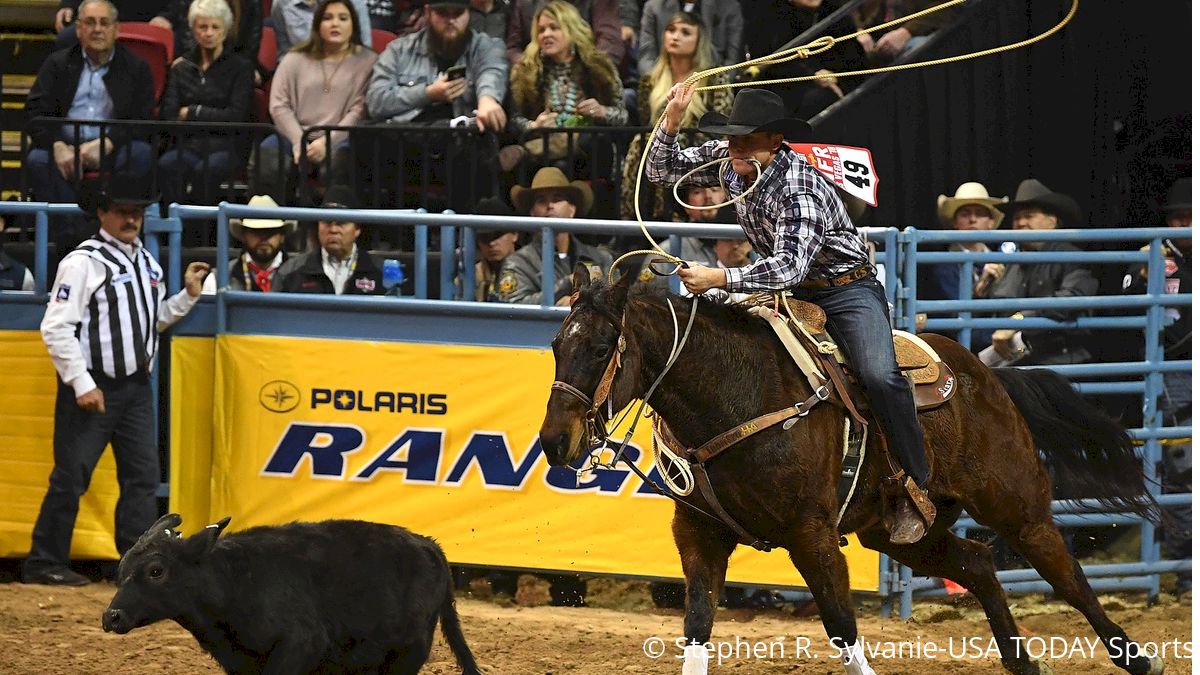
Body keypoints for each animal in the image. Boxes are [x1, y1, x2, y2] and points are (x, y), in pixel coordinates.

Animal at [542, 263, 1161, 672]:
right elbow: (696, 627)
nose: (553, 442)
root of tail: (987, 375)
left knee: (1063, 571)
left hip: (1014, 502)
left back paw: (1134, 657)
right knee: (980, 563)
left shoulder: (812, 535)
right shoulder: (699, 533)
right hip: (898, 532)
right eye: (554, 345)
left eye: (602, 348)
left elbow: (842, 626)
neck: (735, 394)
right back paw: (1022, 662)